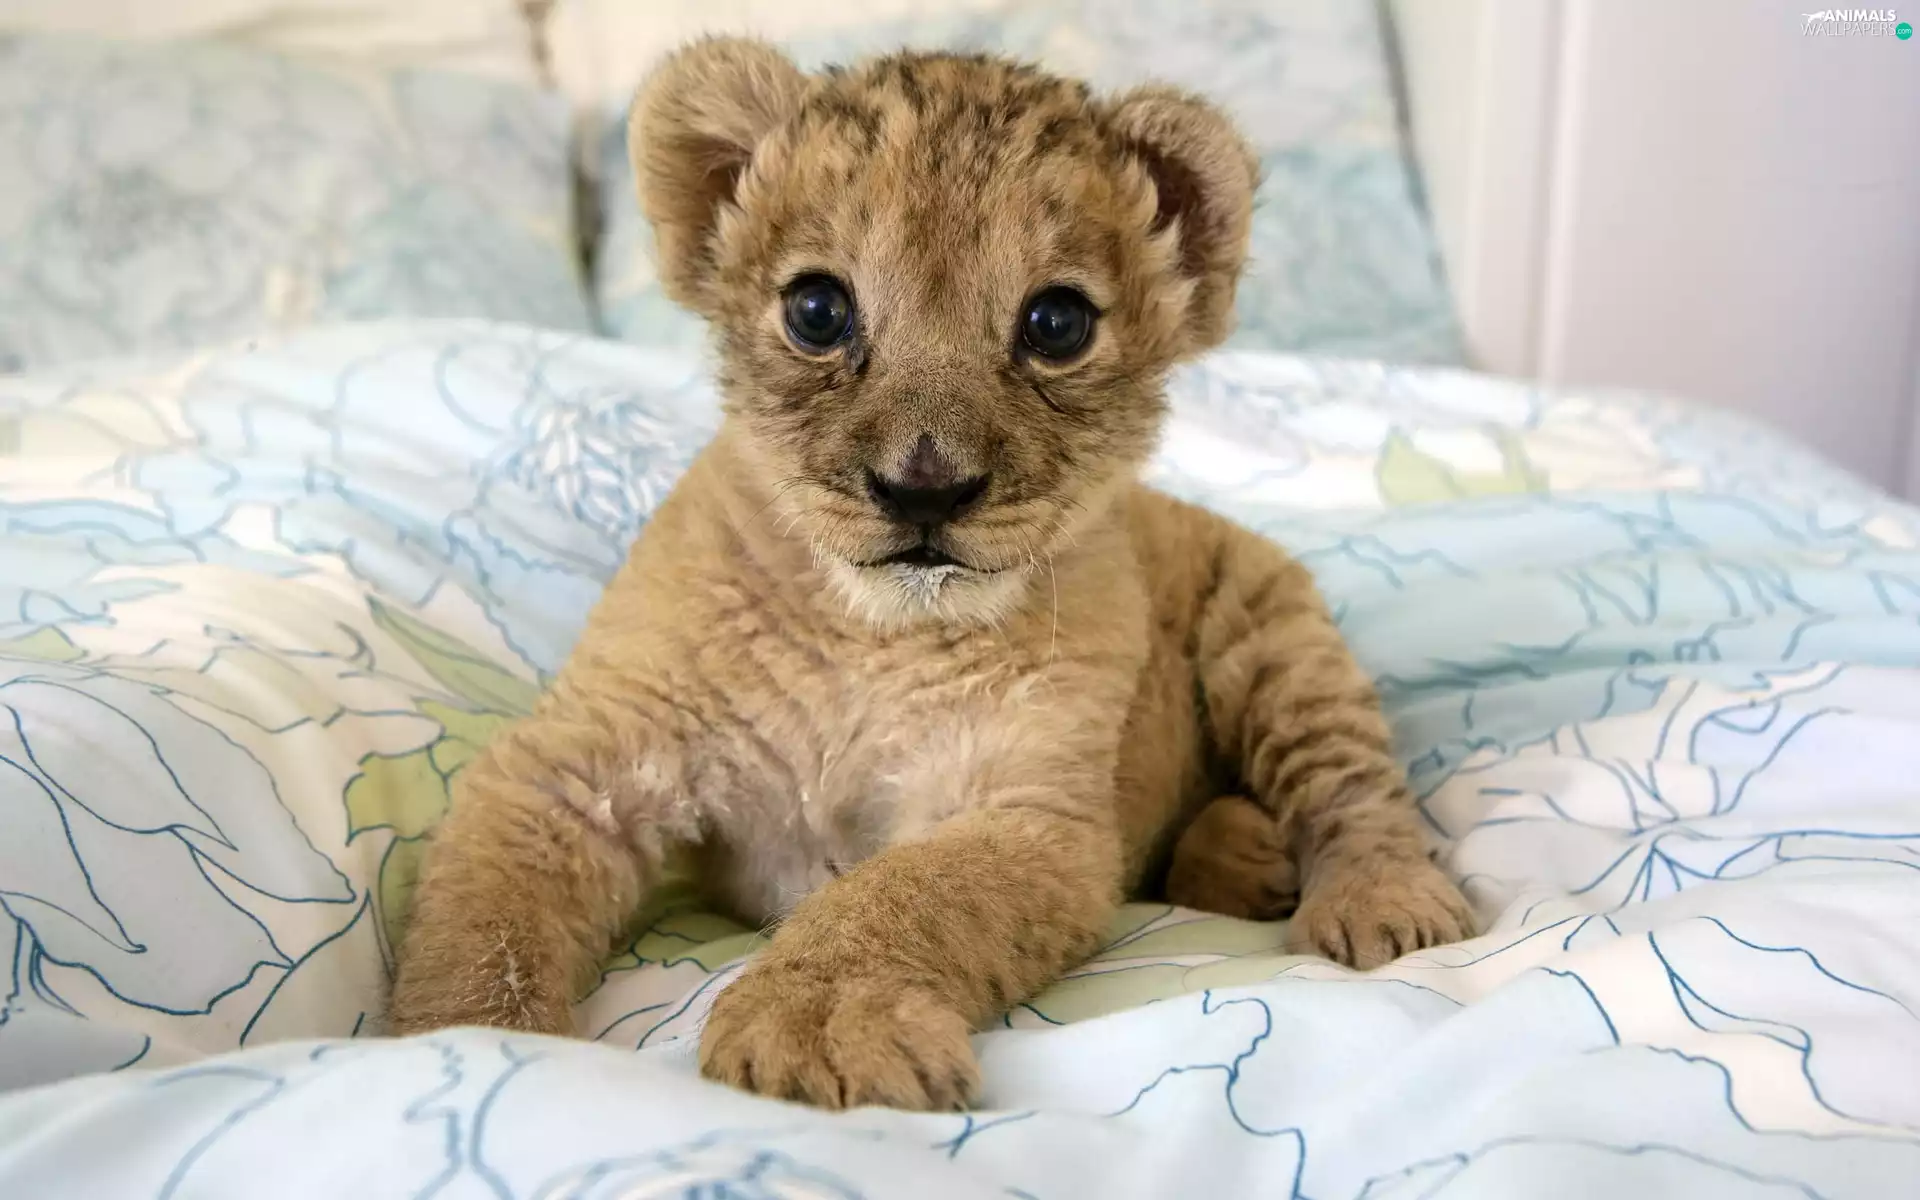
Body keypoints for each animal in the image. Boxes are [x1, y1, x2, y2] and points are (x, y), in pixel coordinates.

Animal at [388, 39, 1474, 1111]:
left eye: (1057, 324)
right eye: (817, 310)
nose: (924, 488)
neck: (867, 634)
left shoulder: (1030, 815)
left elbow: (901, 895)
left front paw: (815, 1027)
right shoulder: (576, 769)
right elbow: (484, 931)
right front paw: (471, 1050)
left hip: (1278, 641)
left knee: (1354, 786)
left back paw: (1379, 905)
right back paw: (1245, 857)